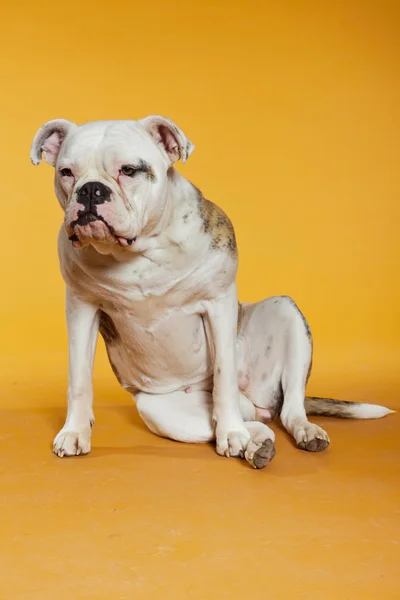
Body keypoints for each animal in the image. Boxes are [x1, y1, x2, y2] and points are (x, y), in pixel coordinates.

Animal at [30, 116, 394, 468]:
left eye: (129, 170)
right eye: (66, 172)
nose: (90, 190)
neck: (137, 253)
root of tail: (258, 402)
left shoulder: (218, 303)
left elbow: (224, 376)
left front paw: (230, 433)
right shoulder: (81, 309)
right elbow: (79, 378)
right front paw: (74, 432)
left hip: (285, 313)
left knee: (288, 408)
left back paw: (295, 431)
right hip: (159, 411)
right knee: (253, 423)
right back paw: (256, 445)